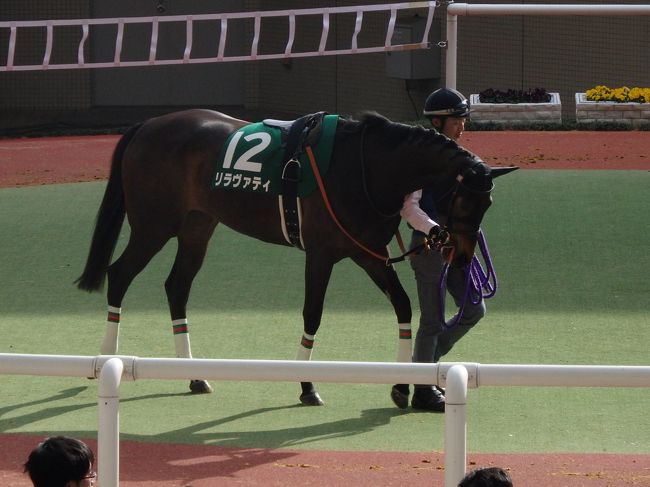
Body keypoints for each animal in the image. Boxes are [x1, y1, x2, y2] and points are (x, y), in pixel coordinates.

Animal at [76, 109, 516, 407]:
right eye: (464, 201)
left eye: (489, 204)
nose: (463, 258)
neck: (364, 168)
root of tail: (148, 125)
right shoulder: (321, 254)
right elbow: (312, 316)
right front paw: (307, 385)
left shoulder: (368, 254)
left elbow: (404, 306)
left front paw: (400, 384)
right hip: (154, 225)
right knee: (120, 274)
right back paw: (109, 358)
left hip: (198, 224)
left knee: (177, 286)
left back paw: (194, 376)